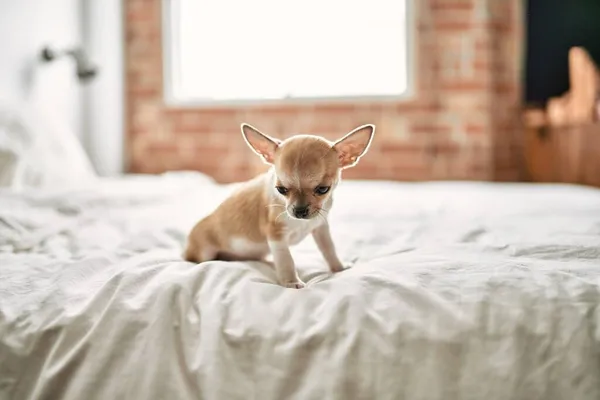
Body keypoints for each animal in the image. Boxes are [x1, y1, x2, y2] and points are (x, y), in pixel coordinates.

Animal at [185, 122, 376, 288]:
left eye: (323, 189)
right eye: (281, 189)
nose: (299, 211)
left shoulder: (321, 227)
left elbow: (329, 248)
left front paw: (338, 267)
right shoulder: (276, 236)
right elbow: (286, 260)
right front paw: (291, 282)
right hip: (203, 251)